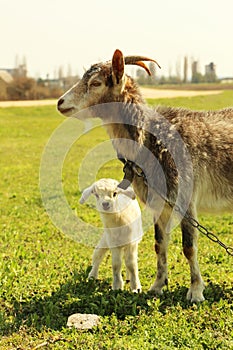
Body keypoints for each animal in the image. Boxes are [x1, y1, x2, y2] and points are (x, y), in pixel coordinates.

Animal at [57, 48, 233, 300]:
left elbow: (189, 246)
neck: (152, 139)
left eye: (96, 82)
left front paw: (196, 292)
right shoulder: (159, 201)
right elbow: (159, 243)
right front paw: (157, 286)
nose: (60, 103)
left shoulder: (185, 196)